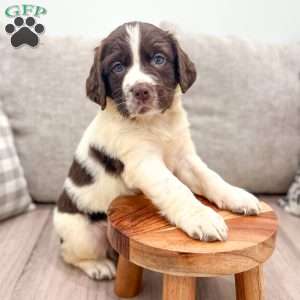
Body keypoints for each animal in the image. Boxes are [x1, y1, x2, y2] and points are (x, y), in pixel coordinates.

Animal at [53, 21, 260, 282]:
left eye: (159, 59)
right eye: (117, 67)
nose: (141, 90)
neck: (156, 123)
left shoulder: (184, 157)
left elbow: (209, 177)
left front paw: (236, 196)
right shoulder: (143, 163)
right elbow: (176, 189)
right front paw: (202, 218)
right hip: (83, 233)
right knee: (70, 255)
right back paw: (98, 266)